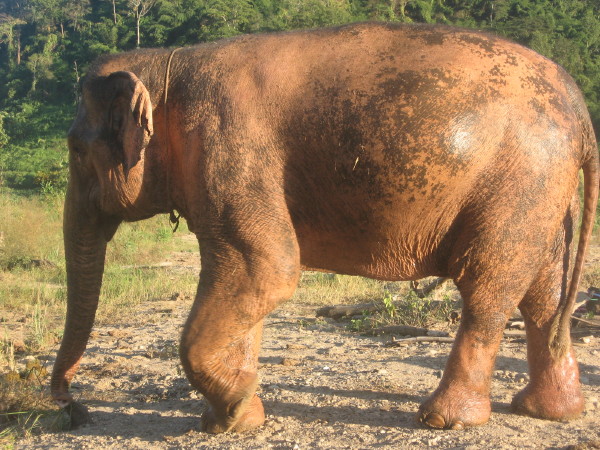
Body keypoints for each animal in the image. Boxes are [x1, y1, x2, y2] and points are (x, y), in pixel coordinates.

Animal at [50, 22, 596, 432]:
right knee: (543, 292)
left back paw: (444, 420)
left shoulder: (229, 145)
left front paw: (236, 406)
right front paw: (233, 419)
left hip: (519, 180)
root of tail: (579, 107)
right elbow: (250, 283)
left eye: (75, 149)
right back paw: (549, 411)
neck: (168, 63)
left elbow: (268, 269)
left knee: (487, 292)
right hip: (543, 189)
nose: (71, 407)